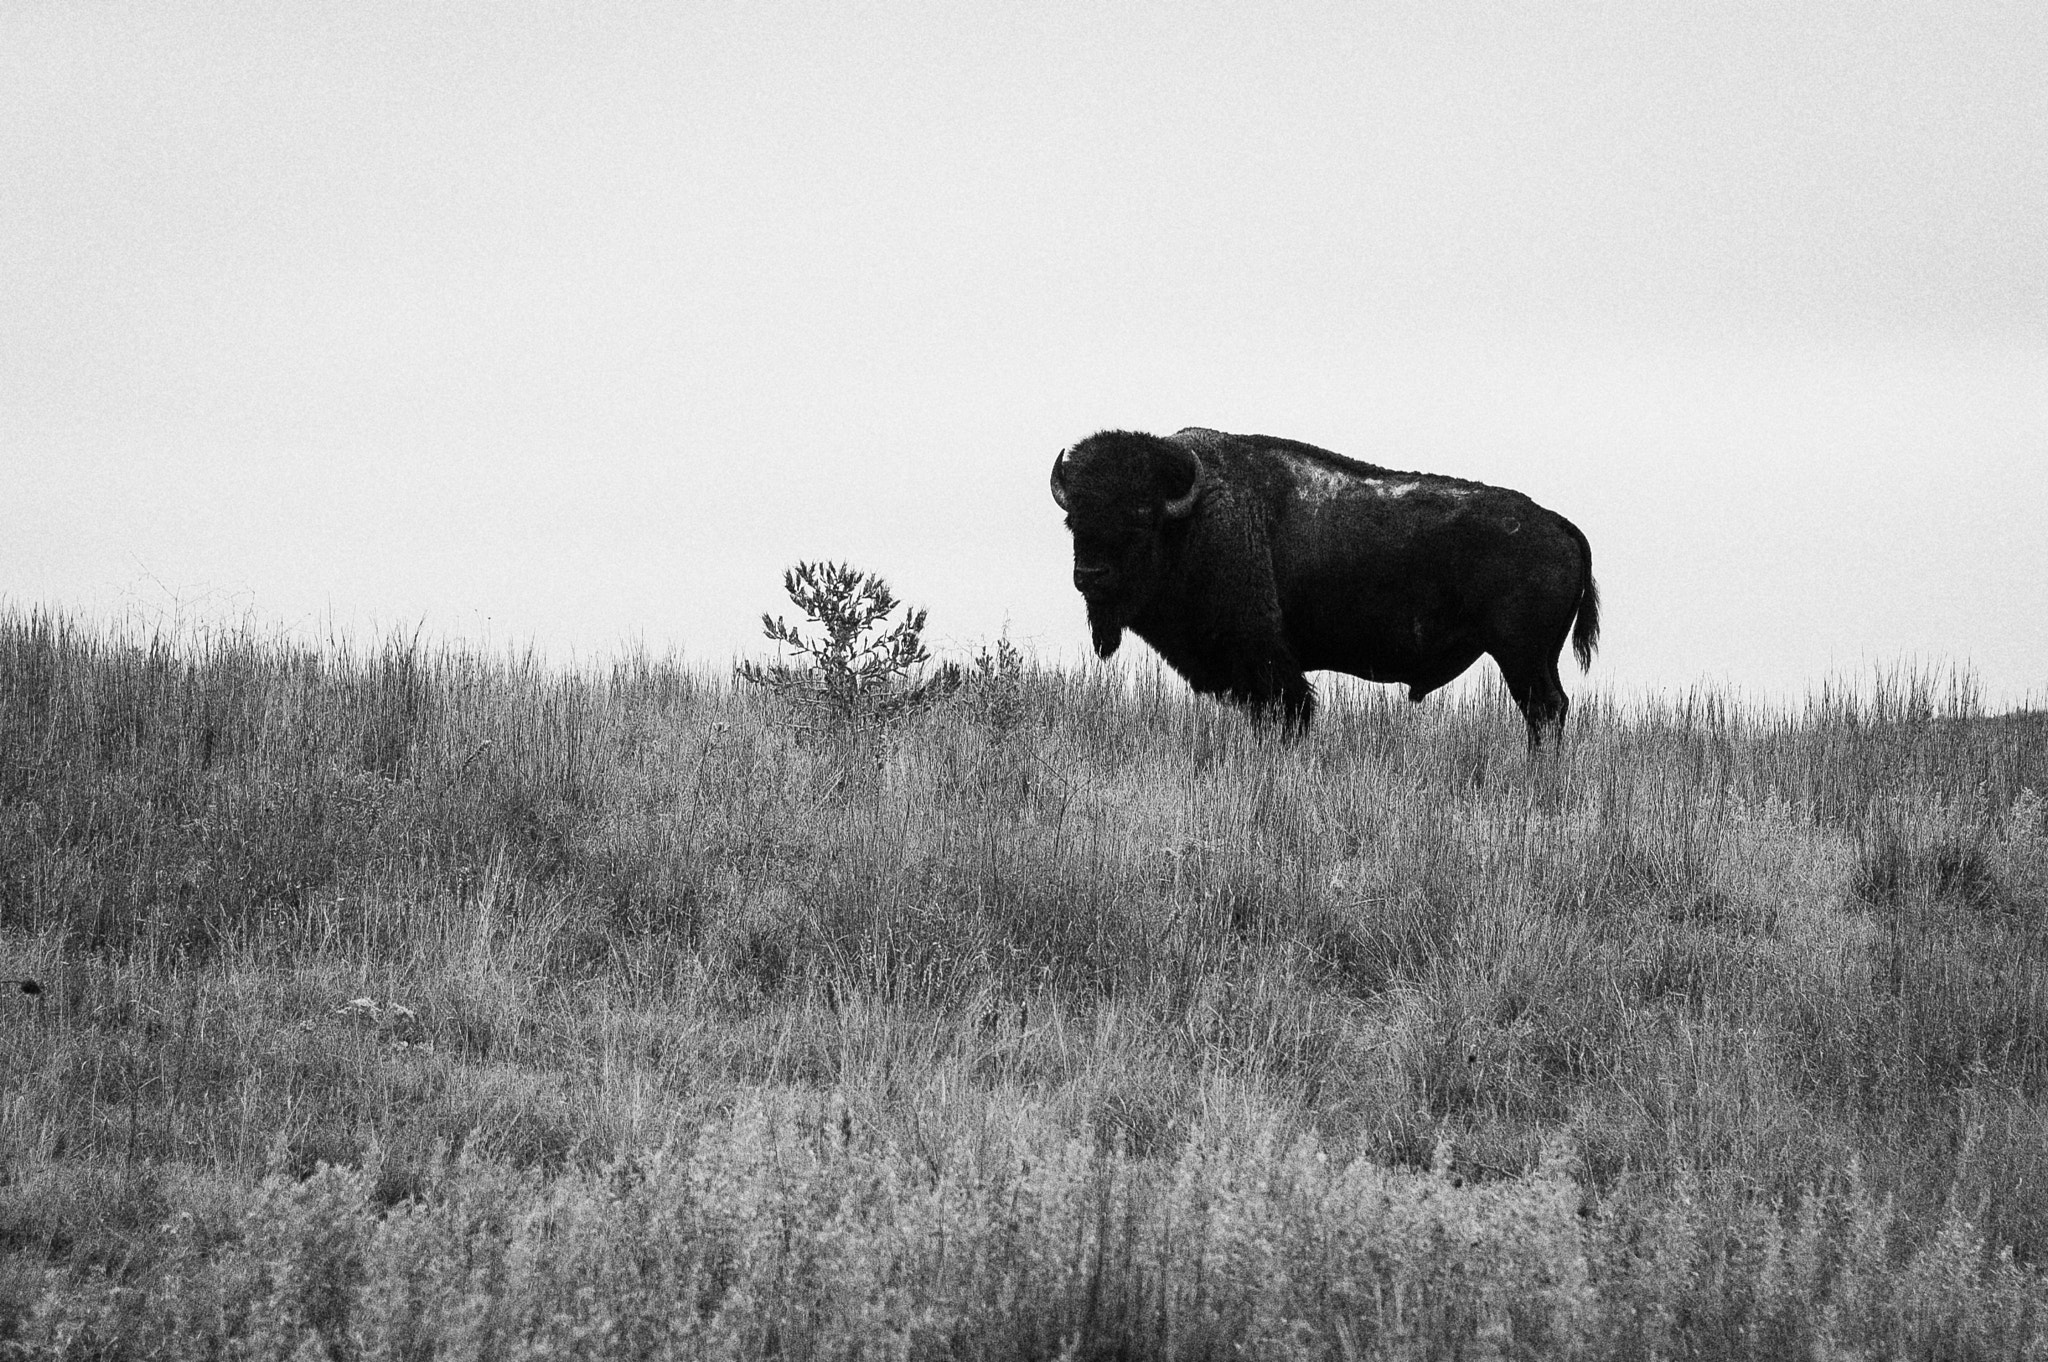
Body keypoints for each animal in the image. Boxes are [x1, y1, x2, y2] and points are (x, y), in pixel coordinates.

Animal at [1056, 426, 1597, 745]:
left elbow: (1291, 713)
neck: (1192, 518)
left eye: (1139, 519)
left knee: (1545, 711)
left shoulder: (1270, 665)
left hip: (1521, 656)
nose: (1089, 576)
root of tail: (1560, 526)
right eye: (1074, 519)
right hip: (1536, 658)